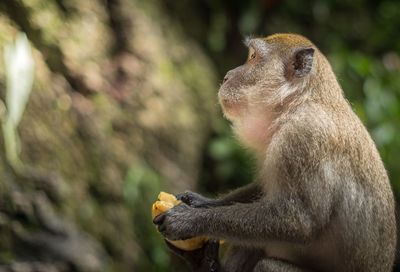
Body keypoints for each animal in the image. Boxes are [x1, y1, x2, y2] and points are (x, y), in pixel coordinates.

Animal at [153, 33, 396, 270]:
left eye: (253, 57)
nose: (227, 76)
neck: (298, 103)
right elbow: (264, 188)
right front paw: (200, 202)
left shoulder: (303, 137)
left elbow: (298, 222)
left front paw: (190, 219)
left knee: (267, 264)